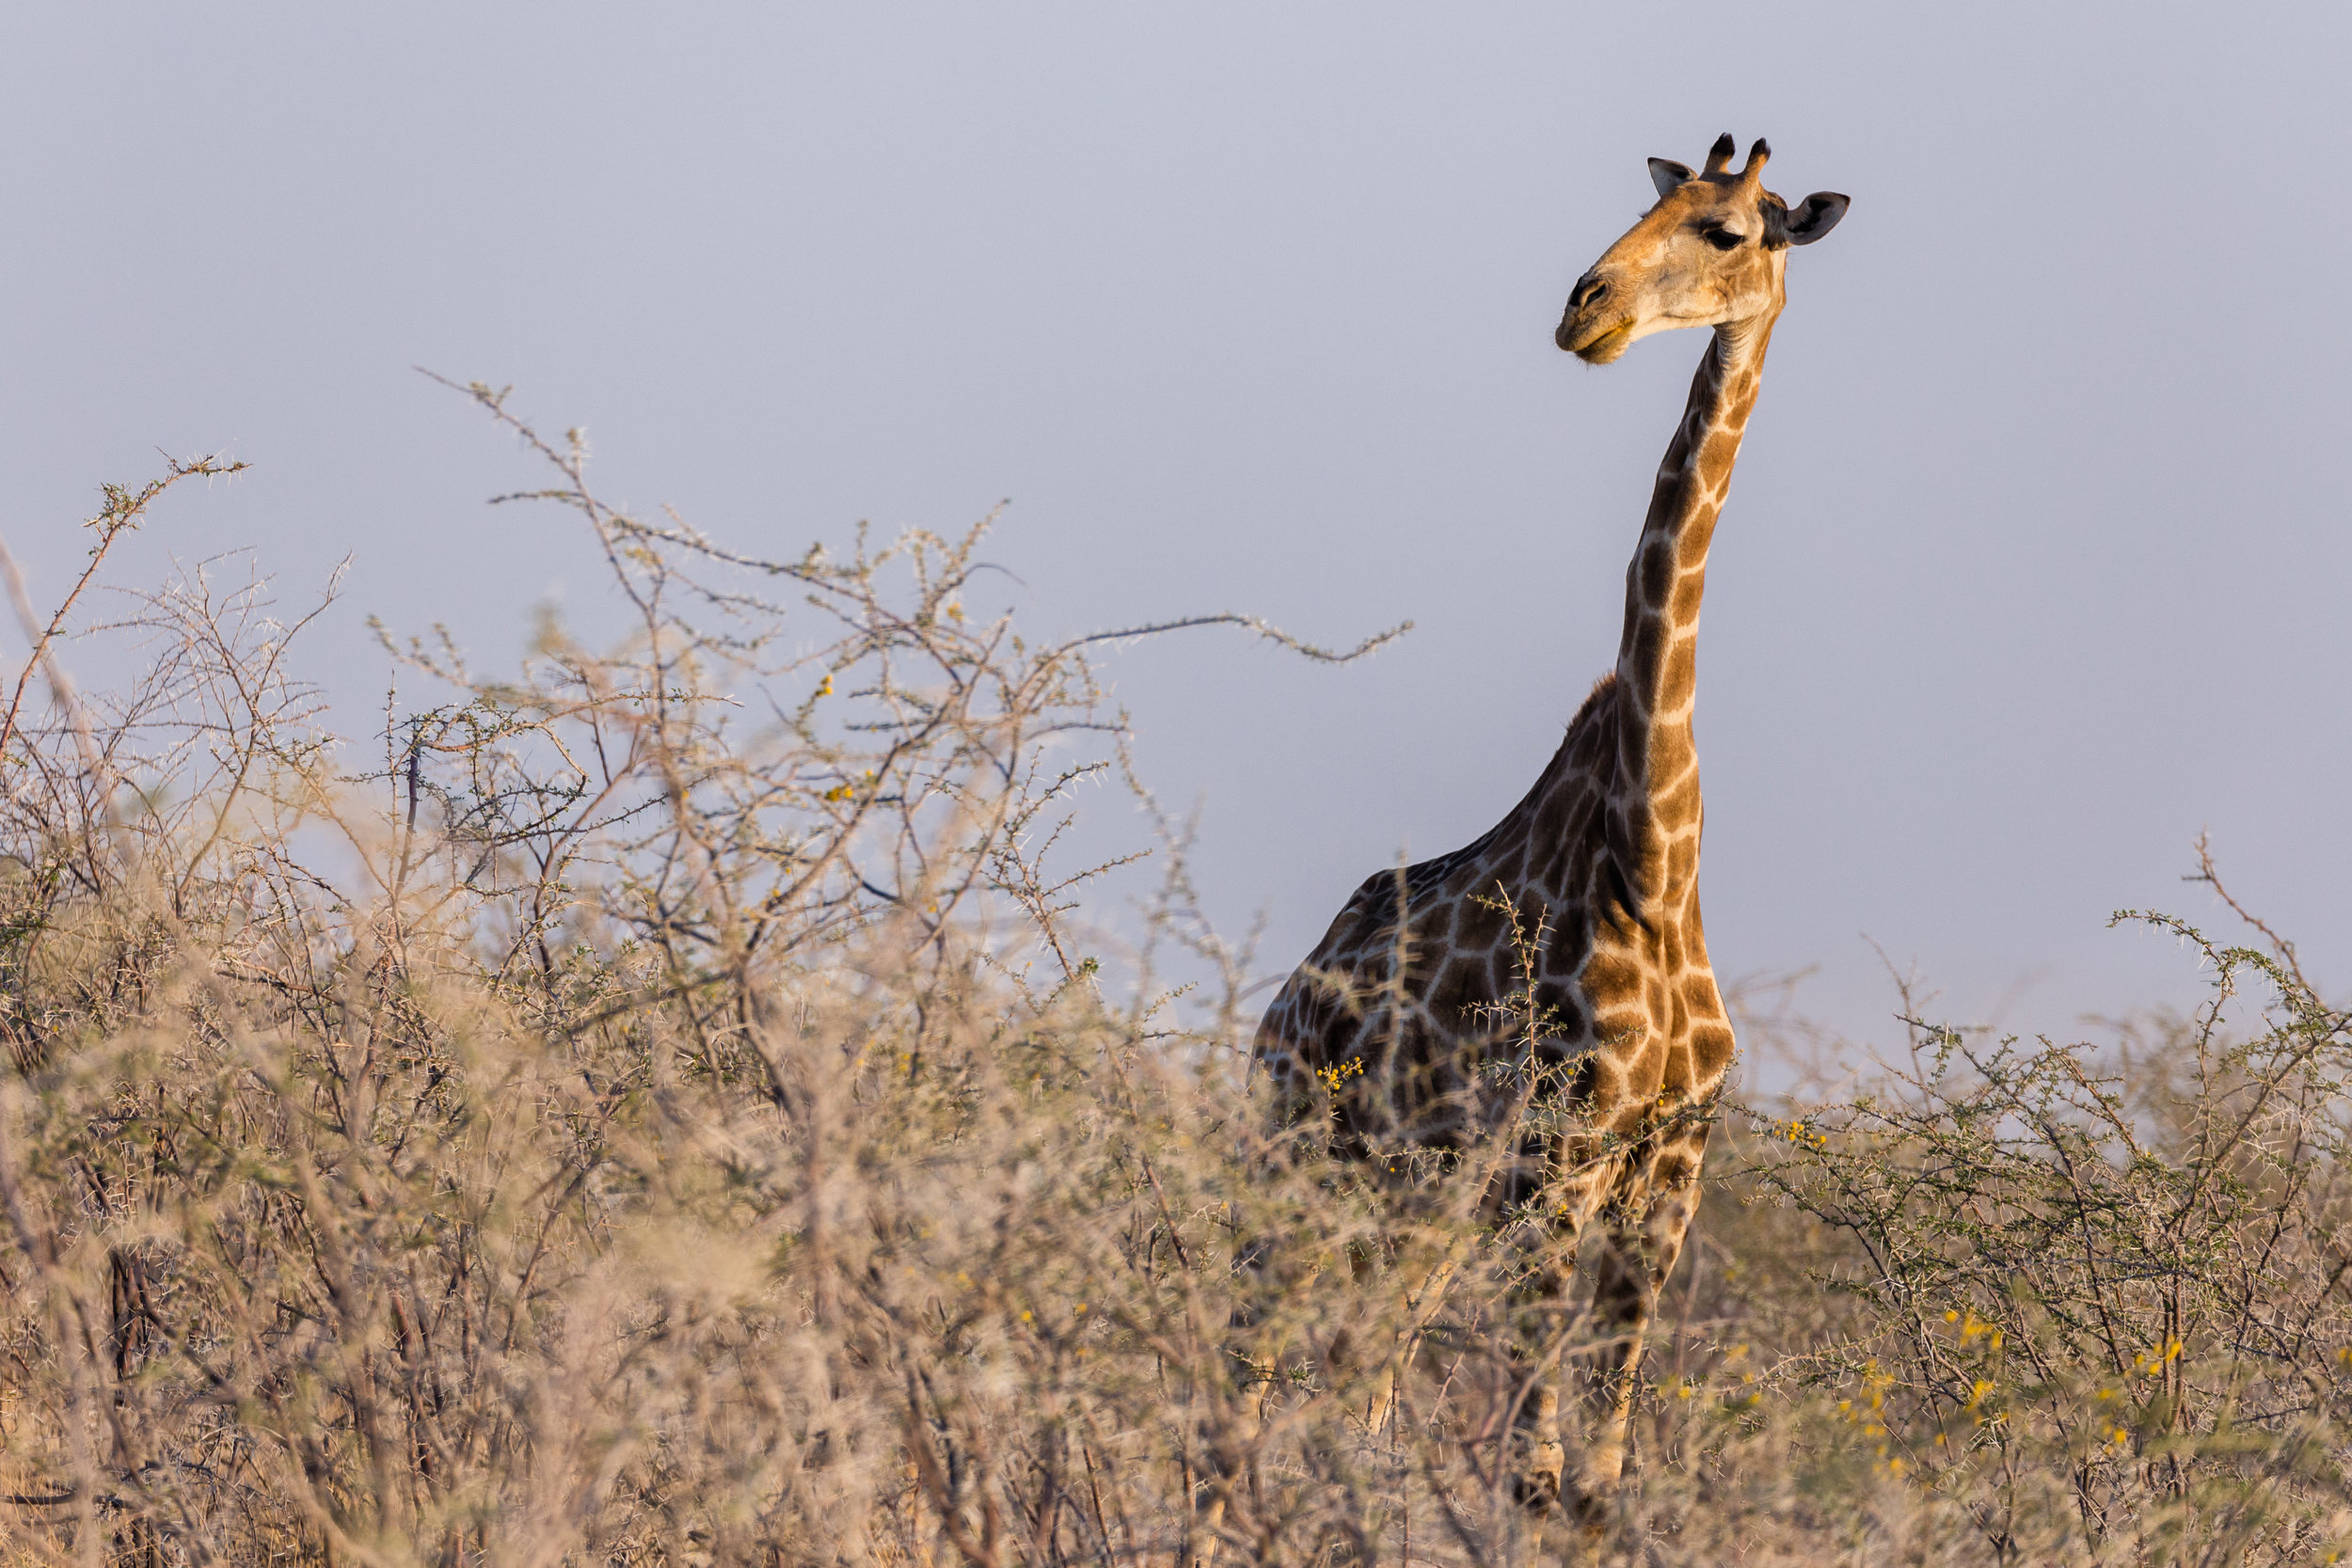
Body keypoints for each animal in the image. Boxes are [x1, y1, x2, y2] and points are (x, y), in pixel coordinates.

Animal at [1261, 135, 1844, 1532]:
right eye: (1650, 203)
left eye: (1731, 229)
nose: (1588, 307)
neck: (1655, 851)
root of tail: (1286, 994)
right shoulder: (1556, 1152)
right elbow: (1532, 1474)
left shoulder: (1666, 1167)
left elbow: (1594, 1482)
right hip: (1298, 1154)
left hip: (1408, 1198)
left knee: (1358, 1390)